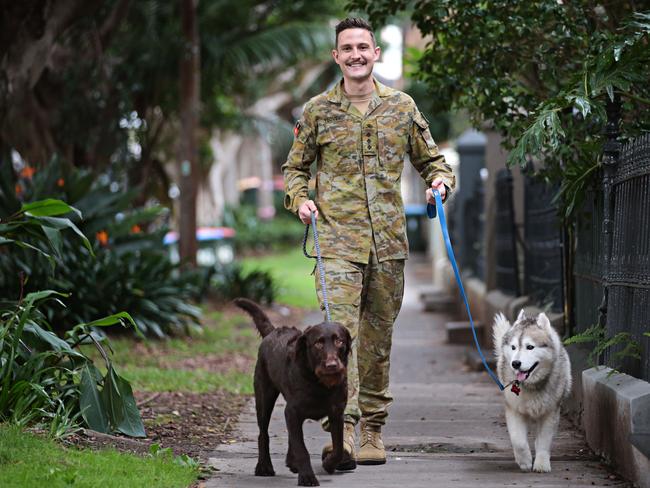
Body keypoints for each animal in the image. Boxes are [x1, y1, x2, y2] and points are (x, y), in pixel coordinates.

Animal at [494, 308, 568, 472]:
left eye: (530, 347)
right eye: (513, 347)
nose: (515, 363)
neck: (531, 385)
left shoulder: (550, 412)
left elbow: (544, 441)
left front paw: (541, 463)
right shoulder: (514, 410)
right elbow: (519, 441)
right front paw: (525, 461)